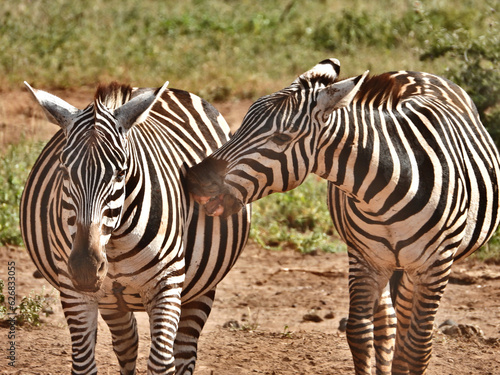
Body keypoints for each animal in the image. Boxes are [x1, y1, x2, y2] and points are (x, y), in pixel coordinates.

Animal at [20, 81, 252, 374]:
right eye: (64, 171)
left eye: (120, 173)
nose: (85, 268)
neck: (114, 243)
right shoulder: (74, 290)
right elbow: (85, 365)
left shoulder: (166, 284)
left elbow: (162, 363)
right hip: (111, 298)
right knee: (127, 342)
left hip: (201, 288)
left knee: (184, 352)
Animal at [187, 58, 500, 374]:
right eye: (241, 126)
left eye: (281, 137)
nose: (195, 180)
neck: (390, 190)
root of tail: (414, 72)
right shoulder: (365, 259)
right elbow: (359, 333)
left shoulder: (436, 266)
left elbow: (418, 347)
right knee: (388, 321)